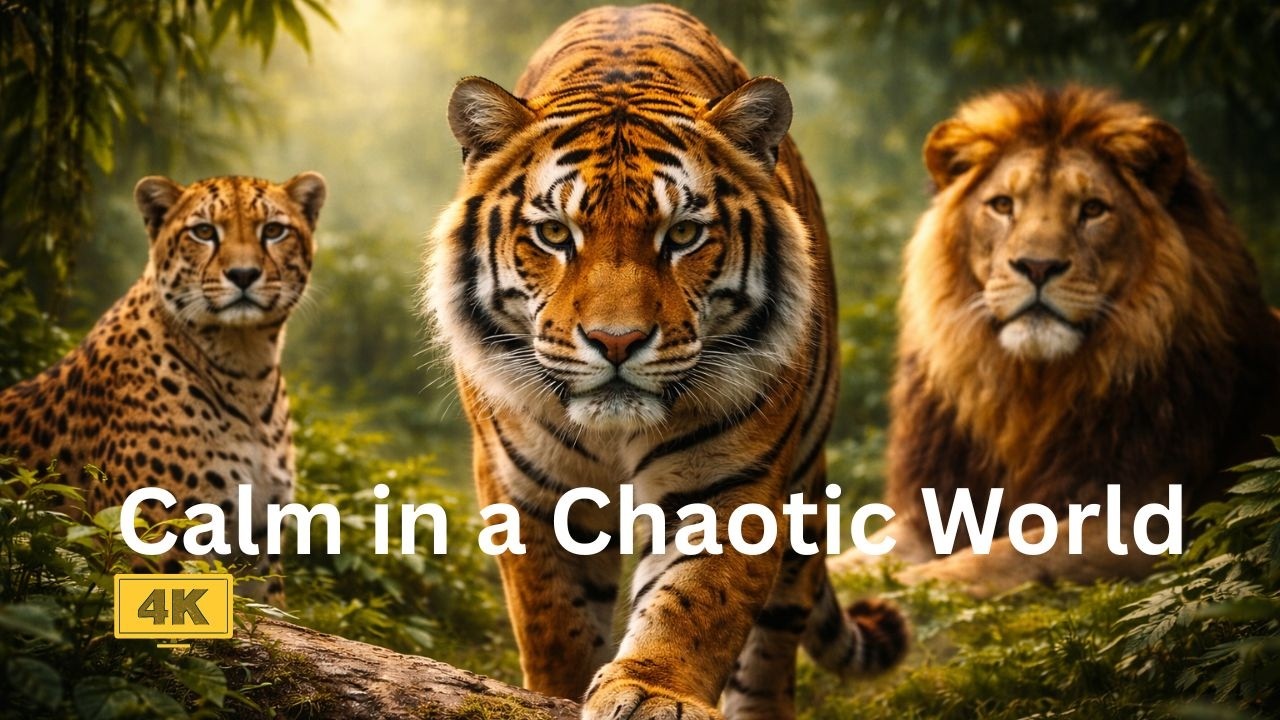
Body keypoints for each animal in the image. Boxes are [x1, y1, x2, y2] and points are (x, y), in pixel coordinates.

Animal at [424, 5, 905, 719]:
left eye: (682, 234)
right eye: (555, 234)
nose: (617, 341)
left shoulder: (730, 479)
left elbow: (694, 600)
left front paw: (654, 690)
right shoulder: (526, 488)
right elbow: (554, 619)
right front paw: (559, 690)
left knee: (774, 644)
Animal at [831, 85, 1280, 596]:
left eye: (1093, 209)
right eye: (1003, 205)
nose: (1038, 266)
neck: (1031, 388)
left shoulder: (1142, 523)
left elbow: (994, 560)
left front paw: (899, 597)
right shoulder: (931, 512)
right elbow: (846, 559)